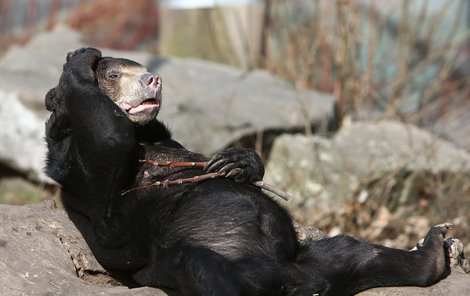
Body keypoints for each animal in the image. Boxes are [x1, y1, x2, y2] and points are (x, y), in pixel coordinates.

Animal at [45, 47, 452, 294]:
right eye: (115, 76)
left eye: (145, 70)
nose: (154, 80)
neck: (145, 134)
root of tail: (291, 281)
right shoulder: (79, 165)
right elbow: (108, 138)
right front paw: (79, 59)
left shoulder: (169, 137)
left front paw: (235, 161)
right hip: (194, 259)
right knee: (206, 269)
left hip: (313, 261)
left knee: (354, 251)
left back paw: (433, 251)